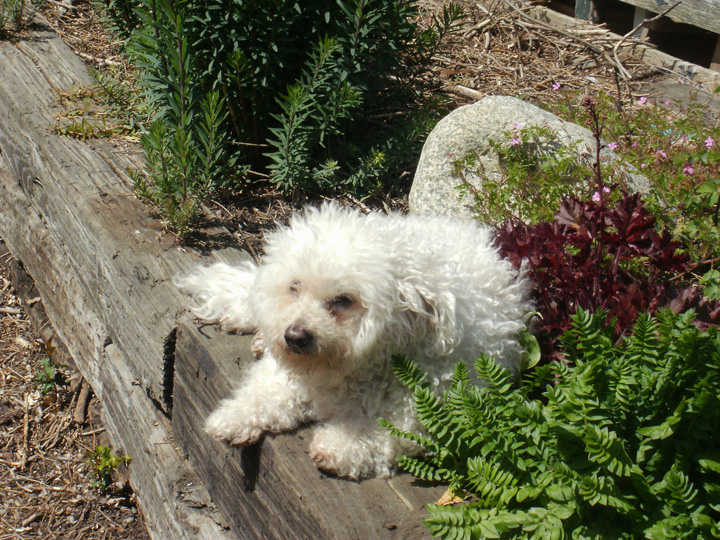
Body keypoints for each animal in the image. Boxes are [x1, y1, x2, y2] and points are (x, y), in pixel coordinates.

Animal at [177, 204, 532, 480]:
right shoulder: (286, 373)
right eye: (294, 287)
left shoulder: (426, 406)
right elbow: (262, 392)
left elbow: (382, 429)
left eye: (343, 301)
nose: (294, 337)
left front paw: (340, 445)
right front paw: (233, 417)